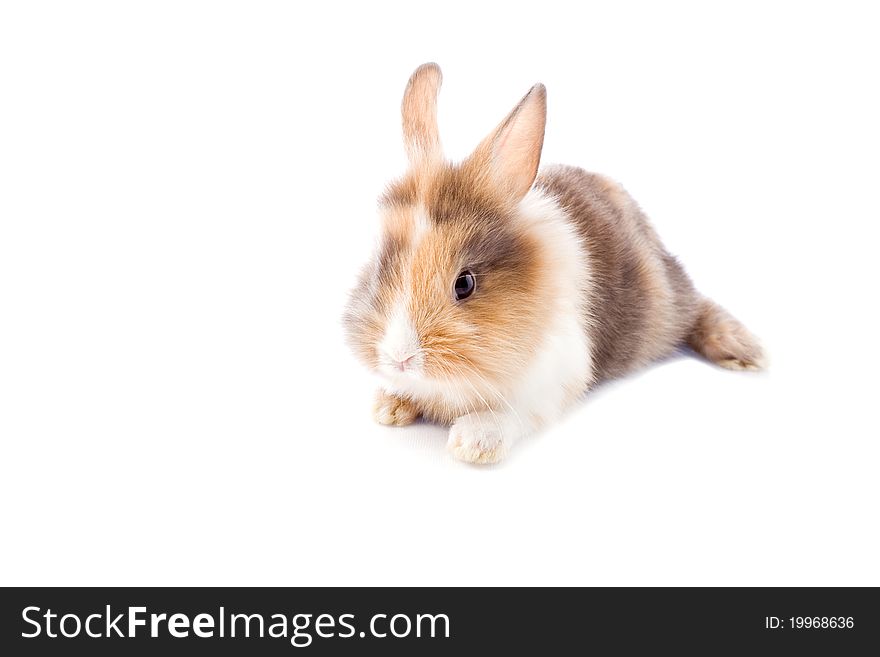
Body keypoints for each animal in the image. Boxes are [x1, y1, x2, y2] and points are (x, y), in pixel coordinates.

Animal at [344, 60, 764, 462]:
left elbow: (508, 414)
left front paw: (472, 444)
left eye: (464, 284)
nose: (400, 358)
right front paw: (389, 407)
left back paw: (745, 353)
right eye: (379, 268)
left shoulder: (549, 382)